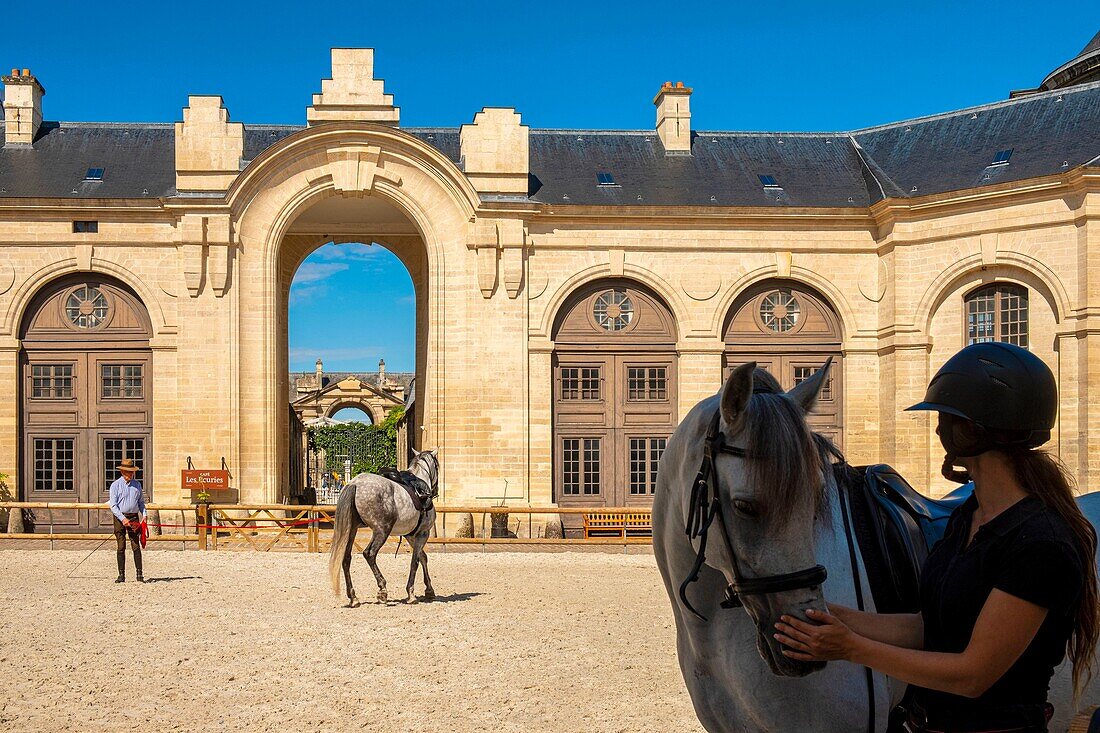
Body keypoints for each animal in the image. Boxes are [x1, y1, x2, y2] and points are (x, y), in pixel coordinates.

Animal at [327, 451, 440, 603]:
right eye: (437, 466)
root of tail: (355, 483)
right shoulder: (423, 533)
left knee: (346, 558)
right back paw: (382, 589)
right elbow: (415, 562)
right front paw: (411, 592)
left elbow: (422, 557)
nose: (436, 490)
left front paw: (429, 589)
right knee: (369, 554)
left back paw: (353, 597)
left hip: (352, 530)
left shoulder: (411, 535)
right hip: (381, 531)